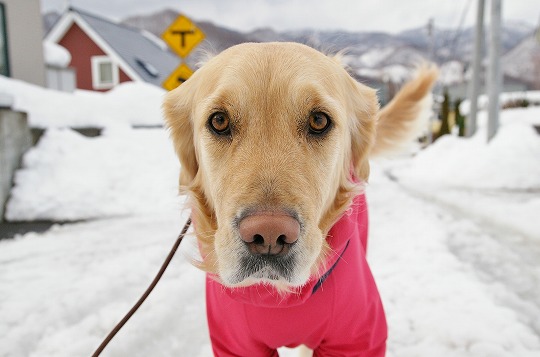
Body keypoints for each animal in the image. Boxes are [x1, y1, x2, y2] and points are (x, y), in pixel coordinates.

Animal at [162, 41, 436, 354]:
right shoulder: (233, 343)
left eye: (319, 120)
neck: (277, 300)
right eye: (219, 121)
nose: (269, 234)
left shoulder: (359, 337)